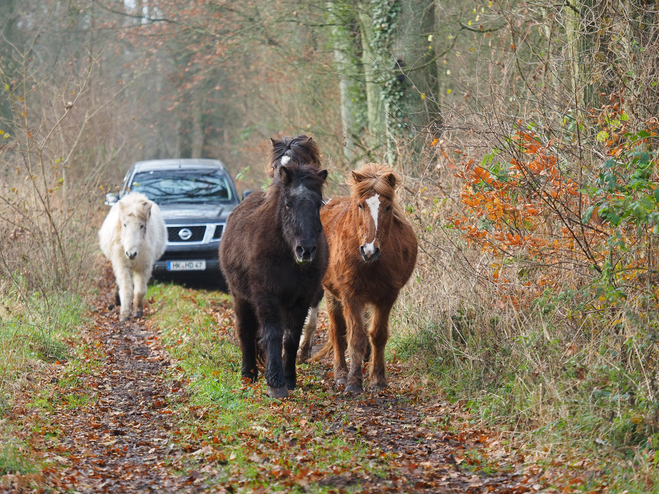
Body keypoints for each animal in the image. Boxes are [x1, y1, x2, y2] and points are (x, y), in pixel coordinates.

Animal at [100, 191, 169, 322]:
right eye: (125, 224)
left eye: (142, 226)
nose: (131, 254)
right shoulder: (121, 266)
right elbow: (126, 289)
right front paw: (124, 315)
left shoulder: (144, 267)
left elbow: (140, 290)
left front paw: (137, 311)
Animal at [219, 137, 328, 400]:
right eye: (288, 204)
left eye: (318, 204)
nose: (305, 250)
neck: (285, 253)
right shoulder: (267, 296)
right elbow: (272, 334)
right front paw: (275, 382)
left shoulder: (302, 298)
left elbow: (291, 337)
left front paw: (290, 378)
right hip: (240, 297)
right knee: (246, 331)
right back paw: (248, 374)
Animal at [300, 164, 418, 396]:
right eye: (361, 205)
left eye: (388, 207)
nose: (369, 250)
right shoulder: (351, 296)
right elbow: (355, 337)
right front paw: (354, 382)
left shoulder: (386, 298)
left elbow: (378, 335)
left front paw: (378, 380)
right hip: (332, 296)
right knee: (337, 332)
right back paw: (340, 374)